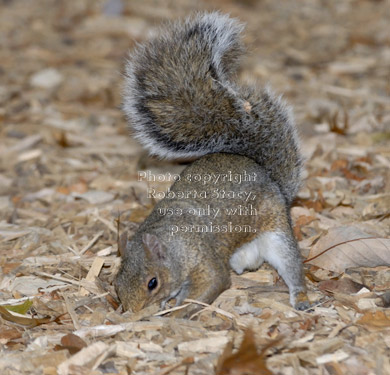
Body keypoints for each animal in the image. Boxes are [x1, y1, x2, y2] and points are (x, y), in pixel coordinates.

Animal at [114, 11, 310, 318]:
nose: (131, 313)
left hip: (276, 231)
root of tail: (269, 176)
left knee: (291, 265)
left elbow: (214, 282)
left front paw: (178, 314)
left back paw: (300, 297)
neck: (172, 243)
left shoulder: (203, 257)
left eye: (152, 283)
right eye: (115, 283)